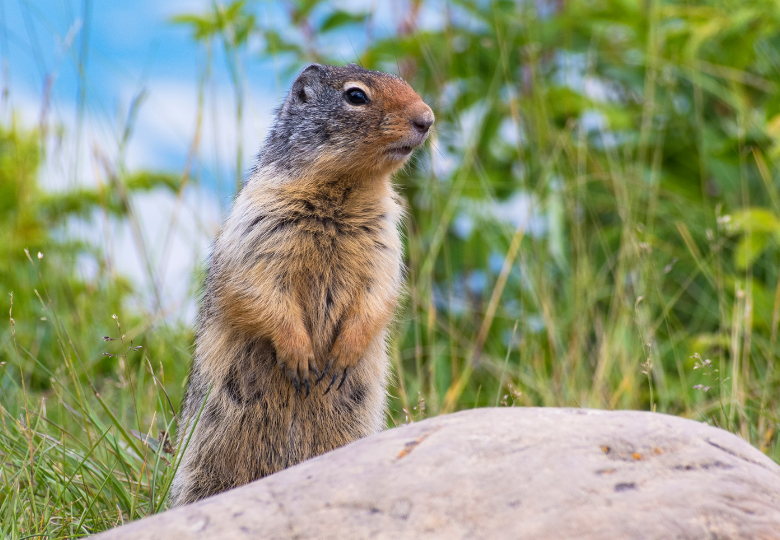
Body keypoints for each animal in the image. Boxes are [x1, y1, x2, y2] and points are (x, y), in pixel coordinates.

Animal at [169, 62, 432, 506]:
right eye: (356, 96)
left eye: (405, 83)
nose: (427, 119)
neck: (343, 191)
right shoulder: (260, 226)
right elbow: (257, 287)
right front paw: (301, 358)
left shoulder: (385, 241)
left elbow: (377, 293)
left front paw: (343, 355)